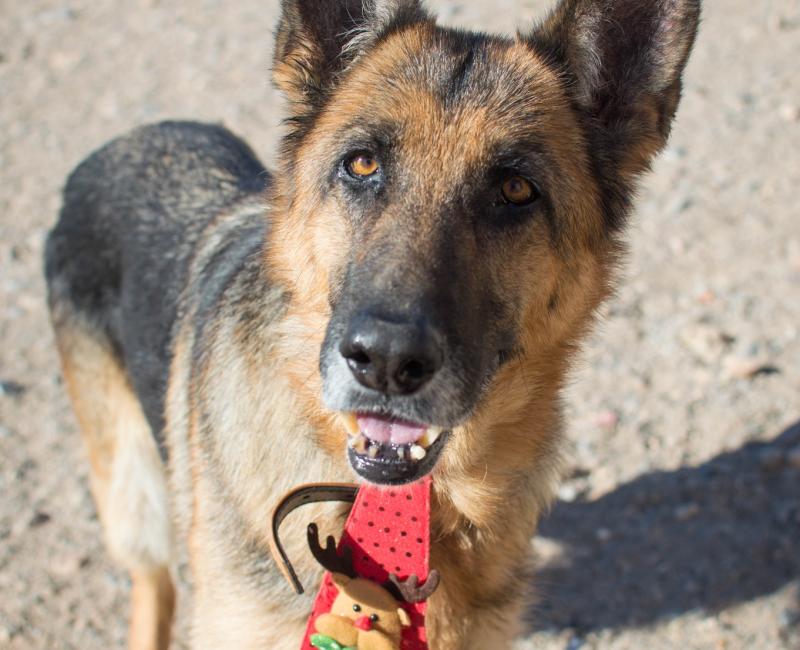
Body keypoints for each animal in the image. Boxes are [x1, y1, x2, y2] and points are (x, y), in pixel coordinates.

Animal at [44, 0, 699, 647]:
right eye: (362, 164)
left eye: (516, 189)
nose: (385, 360)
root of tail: (131, 138)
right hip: (135, 495)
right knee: (152, 582)